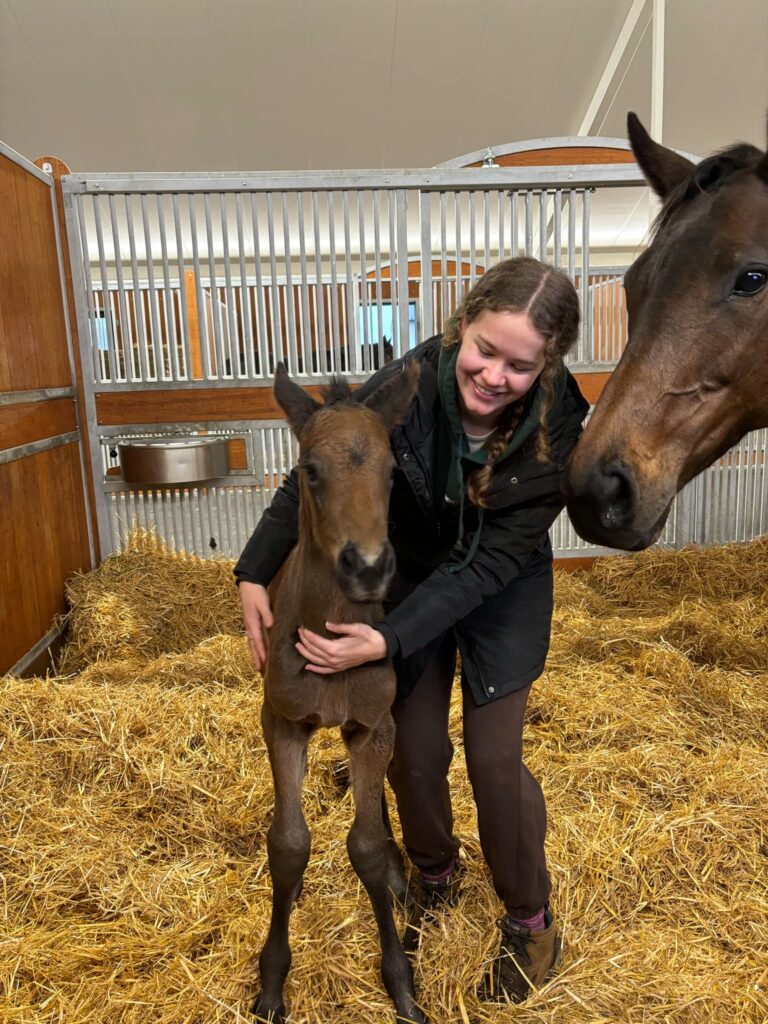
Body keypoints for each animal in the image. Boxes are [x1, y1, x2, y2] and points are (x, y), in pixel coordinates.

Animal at [252, 360, 428, 1024]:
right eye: (308, 470)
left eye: (392, 473)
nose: (369, 568)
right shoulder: (279, 722)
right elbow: (287, 844)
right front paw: (271, 982)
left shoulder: (372, 727)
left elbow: (368, 847)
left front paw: (401, 981)